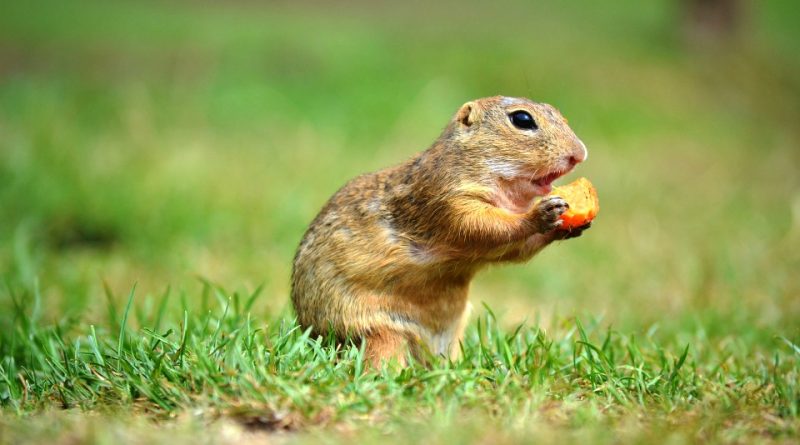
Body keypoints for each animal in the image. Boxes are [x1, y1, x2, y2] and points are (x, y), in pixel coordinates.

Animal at [290, 95, 592, 366]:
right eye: (522, 119)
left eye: (559, 113)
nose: (579, 153)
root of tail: (314, 335)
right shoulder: (450, 200)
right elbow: (486, 226)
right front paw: (541, 213)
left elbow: (515, 249)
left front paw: (567, 226)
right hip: (378, 332)